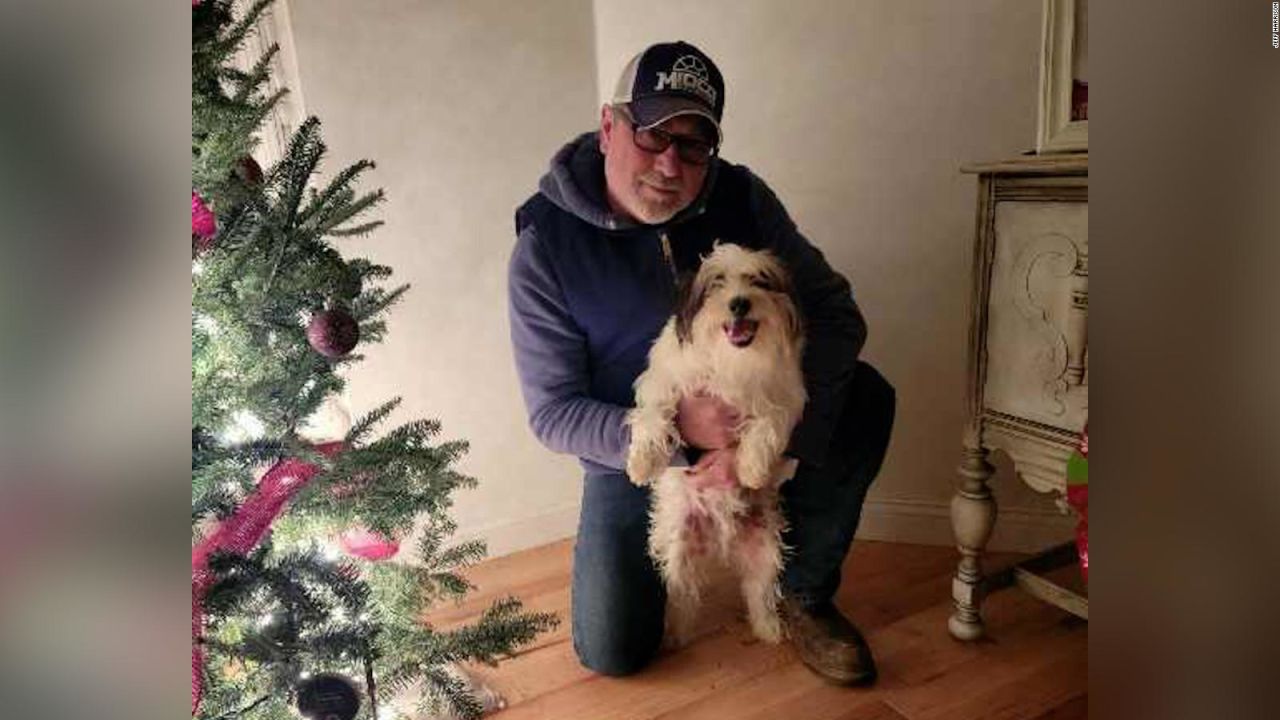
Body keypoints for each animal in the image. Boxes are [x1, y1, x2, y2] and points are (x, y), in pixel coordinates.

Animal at [627, 240, 803, 645]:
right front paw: (642, 463)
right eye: (717, 283)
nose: (739, 303)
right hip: (677, 545)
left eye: (758, 280)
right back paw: (675, 636)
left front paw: (751, 469)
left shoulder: (781, 400)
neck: (732, 359)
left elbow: (767, 426)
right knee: (682, 593)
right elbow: (653, 415)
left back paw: (768, 629)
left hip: (765, 548)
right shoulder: (663, 384)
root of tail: (722, 538)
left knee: (758, 592)